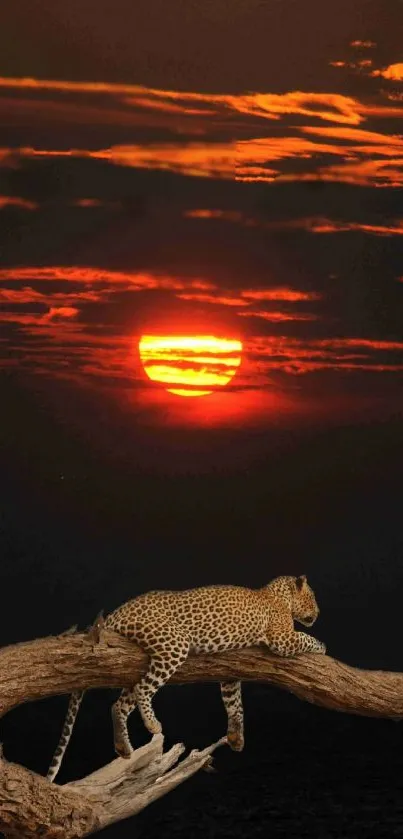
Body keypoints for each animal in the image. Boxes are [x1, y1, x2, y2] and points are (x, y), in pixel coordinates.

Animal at [46, 576, 326, 784]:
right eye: (312, 597)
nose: (318, 612)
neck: (279, 596)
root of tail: (119, 610)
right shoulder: (282, 638)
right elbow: (304, 638)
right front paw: (321, 646)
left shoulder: (230, 674)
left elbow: (235, 704)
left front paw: (236, 737)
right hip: (173, 644)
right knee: (143, 690)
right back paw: (153, 725)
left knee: (120, 704)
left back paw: (123, 748)